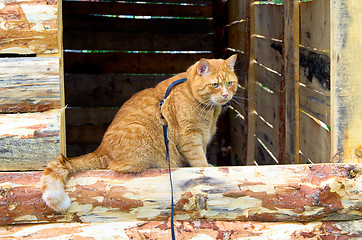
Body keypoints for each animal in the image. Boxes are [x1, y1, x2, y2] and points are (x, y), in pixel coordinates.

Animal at [41, 54, 239, 212]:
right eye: (215, 85)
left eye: (230, 83)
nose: (225, 95)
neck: (209, 110)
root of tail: (101, 149)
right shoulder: (189, 136)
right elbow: (198, 159)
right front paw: (206, 169)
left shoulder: (203, 137)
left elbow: (202, 153)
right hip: (141, 133)